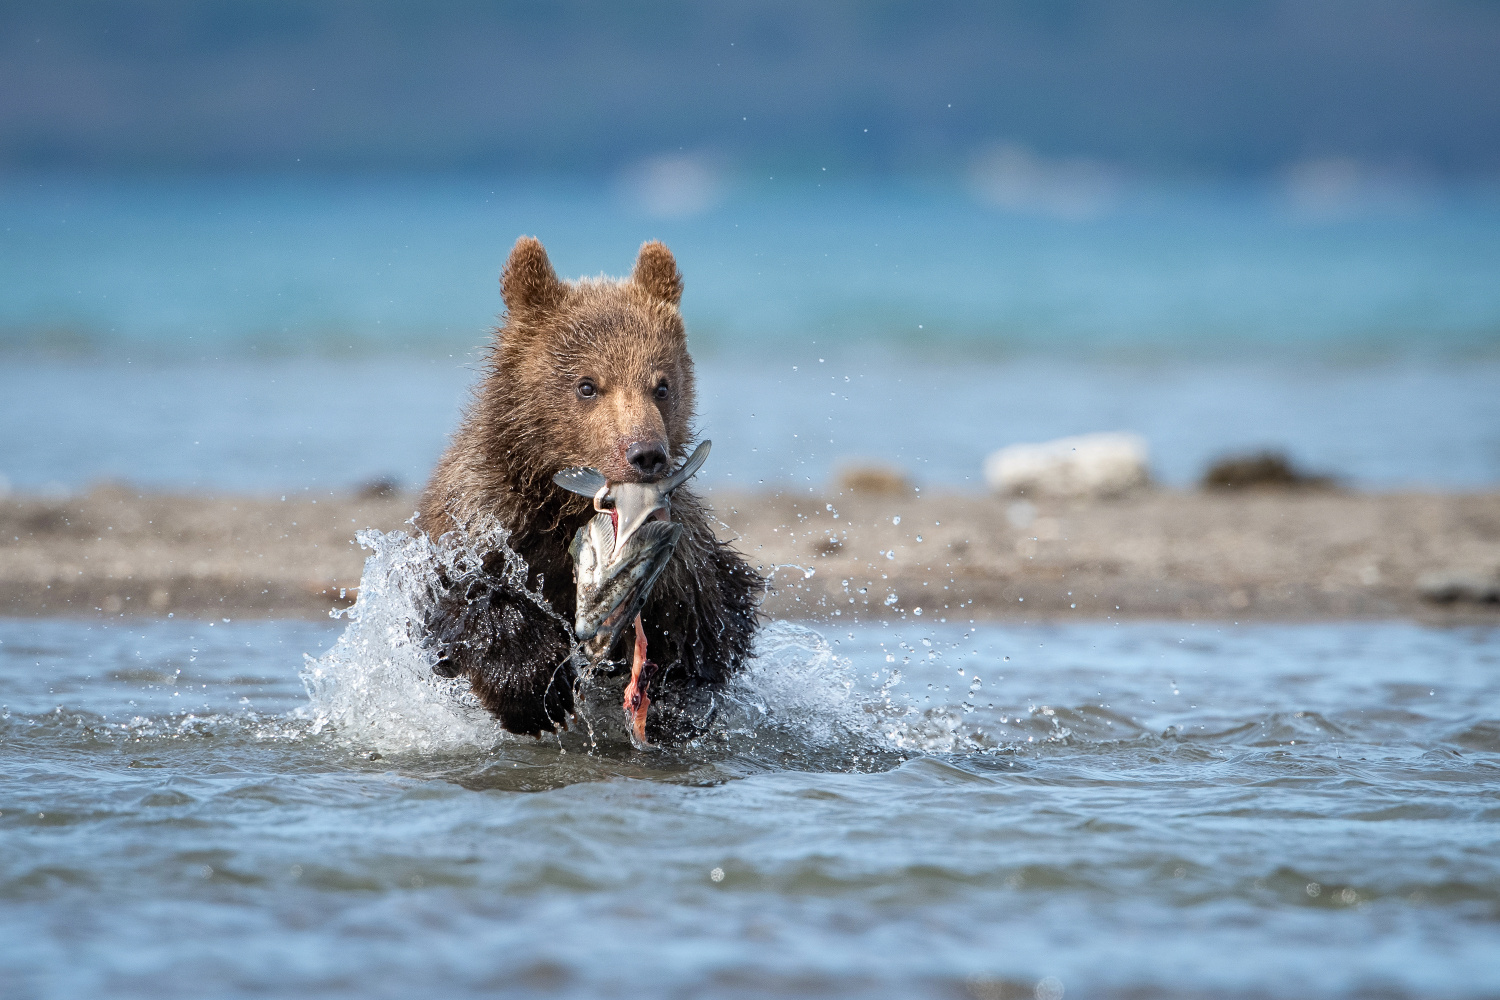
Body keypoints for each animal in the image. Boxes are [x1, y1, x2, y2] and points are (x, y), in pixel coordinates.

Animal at [414, 232, 762, 734]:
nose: (646, 454)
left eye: (661, 385)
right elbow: (466, 596)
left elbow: (708, 633)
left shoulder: (685, 563)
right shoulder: (481, 514)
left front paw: (674, 701)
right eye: (587, 385)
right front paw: (533, 688)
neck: (564, 504)